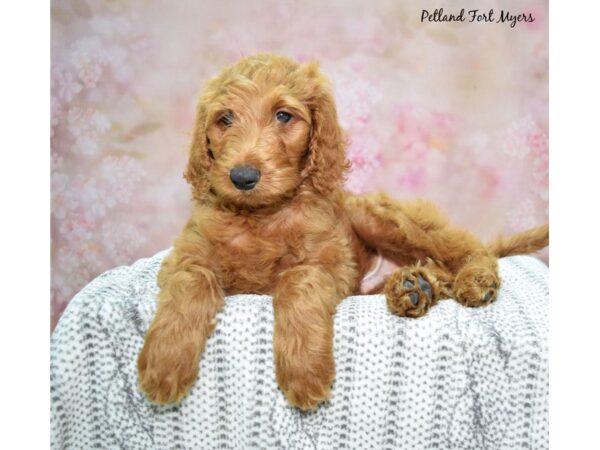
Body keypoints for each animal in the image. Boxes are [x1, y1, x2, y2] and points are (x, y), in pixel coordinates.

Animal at [137, 52, 548, 412]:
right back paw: (414, 287)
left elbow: (296, 281)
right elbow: (193, 281)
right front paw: (164, 364)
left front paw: (304, 371)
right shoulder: (184, 256)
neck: (261, 216)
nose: (242, 177)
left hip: (377, 217)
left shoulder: (331, 260)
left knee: (464, 247)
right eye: (224, 119)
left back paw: (472, 278)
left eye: (283, 115)